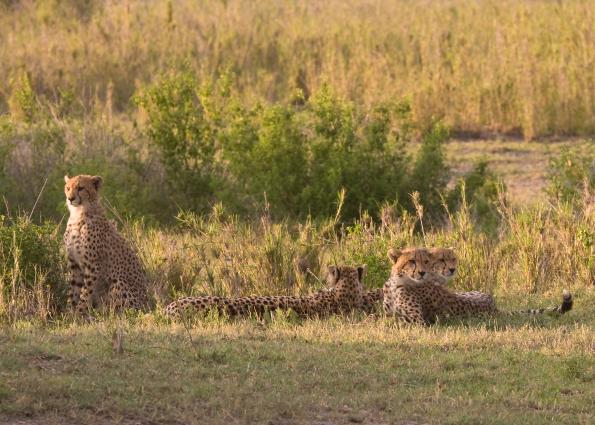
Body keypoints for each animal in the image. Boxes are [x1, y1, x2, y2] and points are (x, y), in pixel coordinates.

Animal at [62, 174, 149, 314]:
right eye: (68, 188)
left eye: (81, 188)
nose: (70, 199)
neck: (78, 214)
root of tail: (147, 304)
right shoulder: (74, 264)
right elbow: (73, 291)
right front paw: (69, 313)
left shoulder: (93, 266)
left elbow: (85, 292)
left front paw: (79, 312)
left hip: (119, 282)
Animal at [384, 247, 576, 322]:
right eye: (411, 261)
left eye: (425, 261)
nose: (422, 272)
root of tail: (493, 307)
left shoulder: (416, 320)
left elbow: (392, 321)